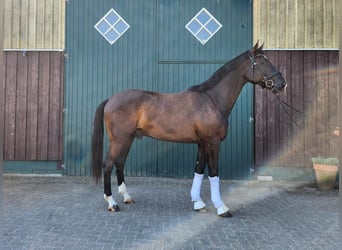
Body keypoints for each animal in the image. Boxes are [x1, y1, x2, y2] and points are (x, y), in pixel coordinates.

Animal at [90, 41, 286, 217]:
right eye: (261, 62)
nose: (281, 84)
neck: (212, 100)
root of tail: (110, 99)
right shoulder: (213, 143)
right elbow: (213, 172)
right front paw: (221, 208)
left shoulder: (202, 143)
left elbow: (198, 170)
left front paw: (198, 203)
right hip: (119, 140)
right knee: (108, 164)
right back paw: (112, 203)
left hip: (128, 138)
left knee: (120, 163)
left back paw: (126, 197)